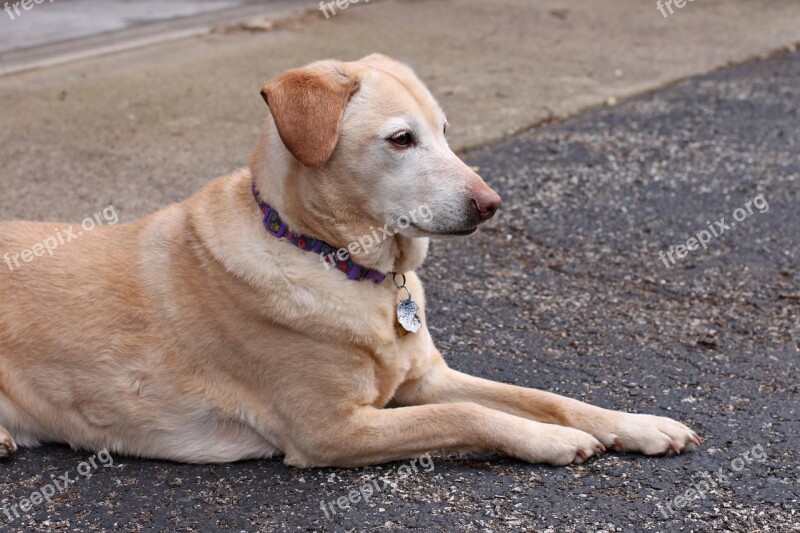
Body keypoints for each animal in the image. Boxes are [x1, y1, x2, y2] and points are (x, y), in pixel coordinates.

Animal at [0, 55, 700, 466]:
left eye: (445, 131)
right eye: (401, 139)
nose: (492, 204)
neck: (336, 261)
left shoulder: (424, 379)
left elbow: (546, 395)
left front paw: (636, 424)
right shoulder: (331, 430)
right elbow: (469, 414)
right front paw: (553, 442)